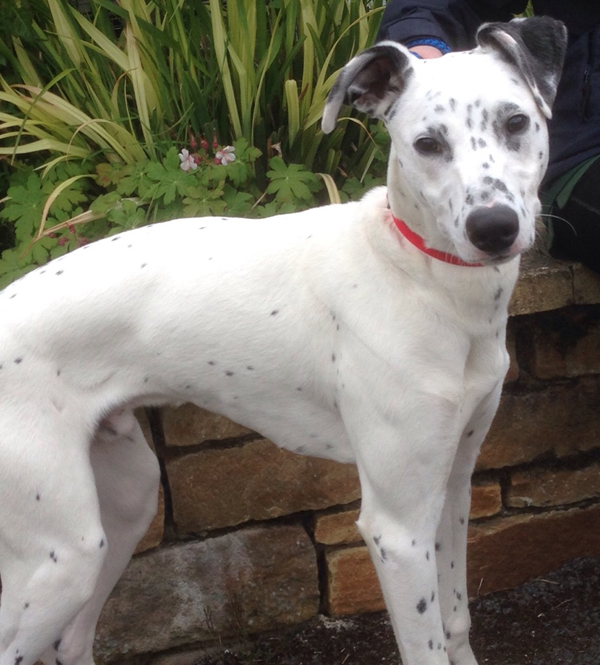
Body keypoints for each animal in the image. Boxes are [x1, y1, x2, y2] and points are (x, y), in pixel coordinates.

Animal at [0, 16, 566, 665]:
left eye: (515, 122)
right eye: (427, 144)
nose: (493, 229)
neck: (422, 280)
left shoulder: (453, 487)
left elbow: (455, 622)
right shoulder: (397, 530)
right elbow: (425, 643)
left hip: (121, 508)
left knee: (73, 639)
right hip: (60, 557)